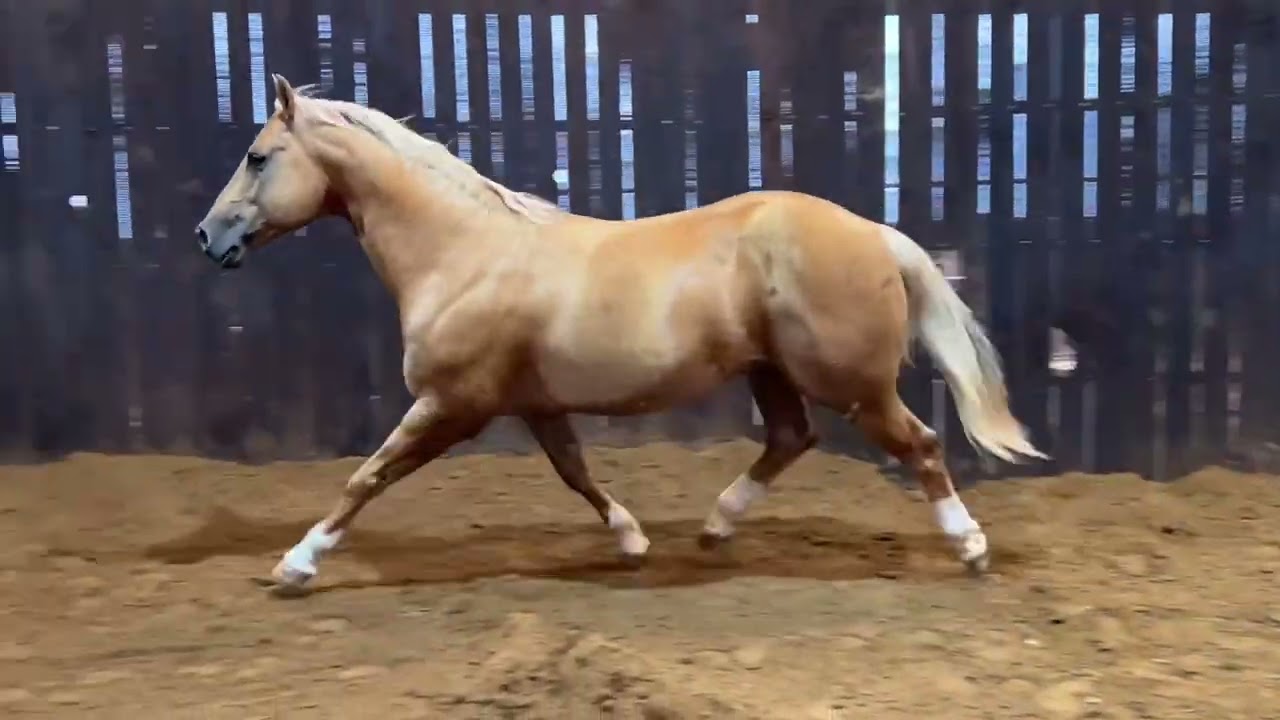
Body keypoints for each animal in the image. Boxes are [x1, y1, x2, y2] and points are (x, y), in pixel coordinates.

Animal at [196, 74, 1046, 596]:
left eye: (258, 157)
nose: (209, 238)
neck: (462, 253)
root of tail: (874, 232)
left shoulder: (452, 405)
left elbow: (366, 478)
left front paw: (295, 565)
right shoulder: (533, 405)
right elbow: (575, 473)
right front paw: (633, 542)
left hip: (853, 384)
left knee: (920, 445)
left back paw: (970, 547)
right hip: (770, 370)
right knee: (790, 438)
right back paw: (713, 527)